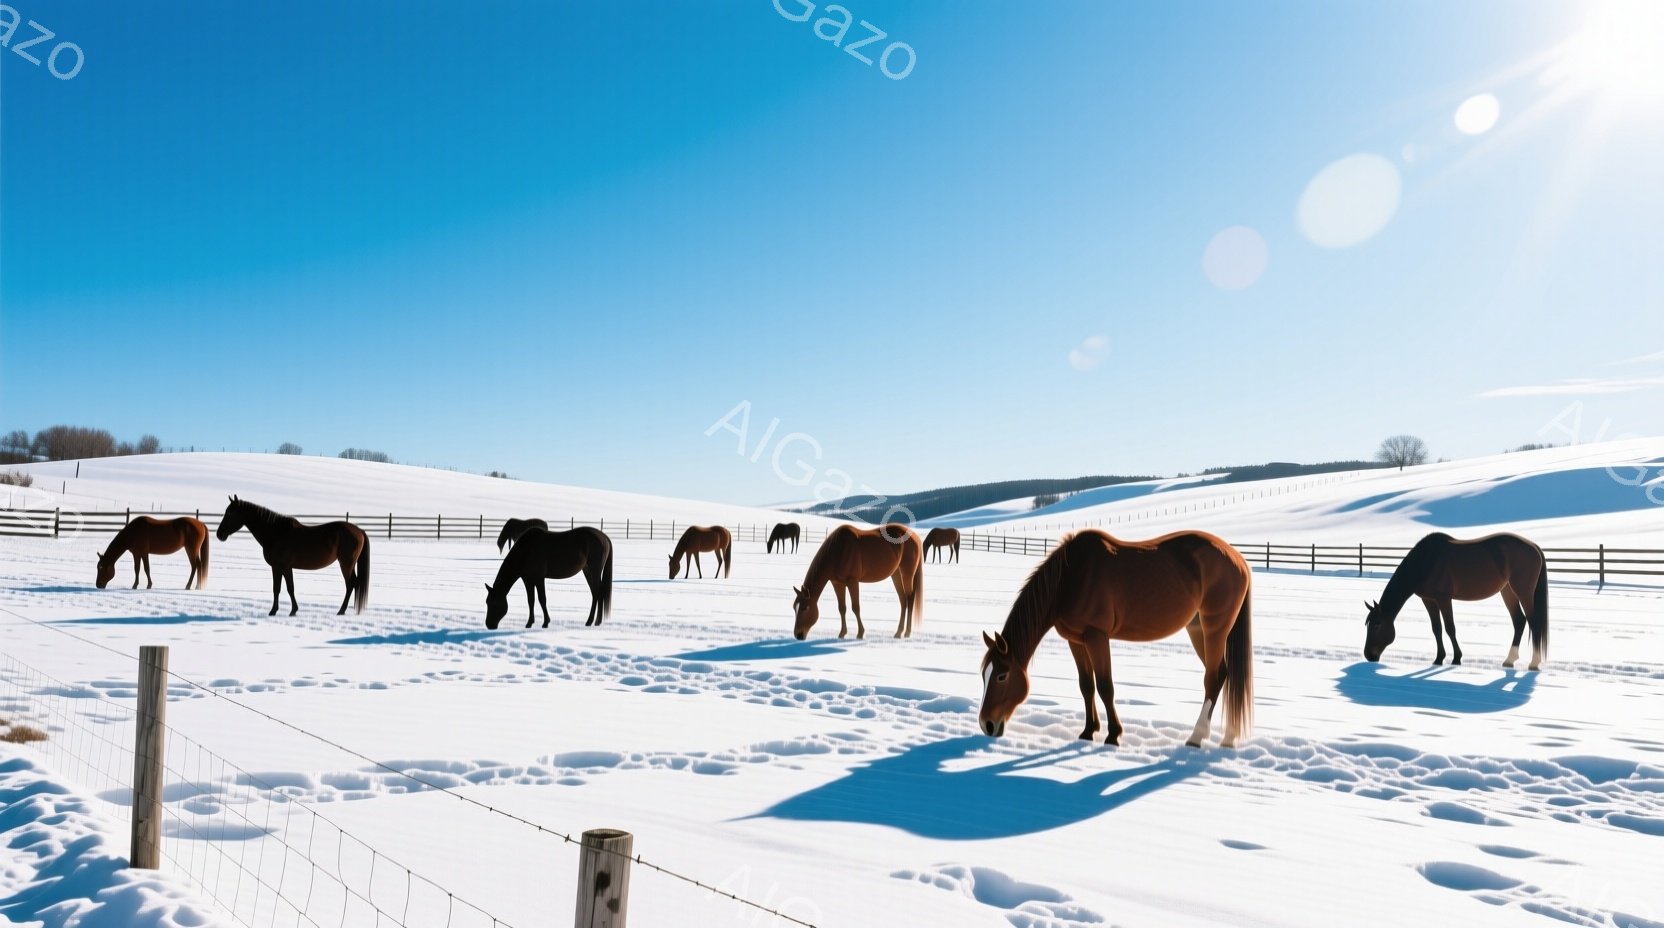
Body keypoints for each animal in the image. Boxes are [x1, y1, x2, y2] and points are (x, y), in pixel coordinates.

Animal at [215, 496, 370, 616]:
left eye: (230, 513)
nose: (219, 534)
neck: (277, 533)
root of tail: (359, 530)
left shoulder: (284, 567)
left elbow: (289, 588)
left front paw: (290, 611)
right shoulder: (277, 568)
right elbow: (277, 588)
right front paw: (276, 610)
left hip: (346, 564)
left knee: (351, 584)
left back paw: (341, 610)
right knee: (353, 584)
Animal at [484, 527, 613, 629]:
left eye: (494, 603)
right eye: (487, 602)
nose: (489, 625)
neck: (527, 549)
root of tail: (604, 537)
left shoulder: (539, 578)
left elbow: (542, 599)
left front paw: (545, 622)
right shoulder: (528, 580)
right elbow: (531, 601)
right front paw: (529, 623)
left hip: (595, 570)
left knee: (598, 593)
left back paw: (593, 621)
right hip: (587, 571)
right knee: (595, 593)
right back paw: (593, 621)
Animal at [792, 523, 923, 640]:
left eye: (805, 608)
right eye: (794, 607)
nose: (798, 635)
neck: (838, 551)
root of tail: (915, 537)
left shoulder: (852, 582)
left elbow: (855, 607)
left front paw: (860, 633)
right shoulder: (837, 583)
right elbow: (842, 608)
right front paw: (842, 633)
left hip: (907, 573)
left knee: (910, 598)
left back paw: (907, 632)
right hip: (896, 574)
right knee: (903, 600)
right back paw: (898, 632)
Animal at [978, 530, 1253, 748]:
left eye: (1002, 675)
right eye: (984, 674)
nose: (987, 724)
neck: (1070, 578)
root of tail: (1239, 559)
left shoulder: (1096, 636)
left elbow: (1105, 686)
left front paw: (1113, 735)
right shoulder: (1076, 640)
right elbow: (1086, 686)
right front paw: (1088, 731)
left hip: (1214, 629)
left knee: (1213, 678)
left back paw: (1196, 737)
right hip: (1197, 629)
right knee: (1223, 674)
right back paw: (1228, 738)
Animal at [1363, 531, 1548, 670]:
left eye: (1377, 624)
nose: (1369, 655)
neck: (1426, 561)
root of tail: (1534, 547)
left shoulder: (1443, 599)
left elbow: (1450, 628)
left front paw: (1456, 658)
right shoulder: (1428, 600)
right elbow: (1437, 629)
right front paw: (1439, 658)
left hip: (1523, 593)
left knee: (1533, 622)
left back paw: (1534, 663)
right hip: (1508, 592)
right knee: (1519, 621)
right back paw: (1510, 660)